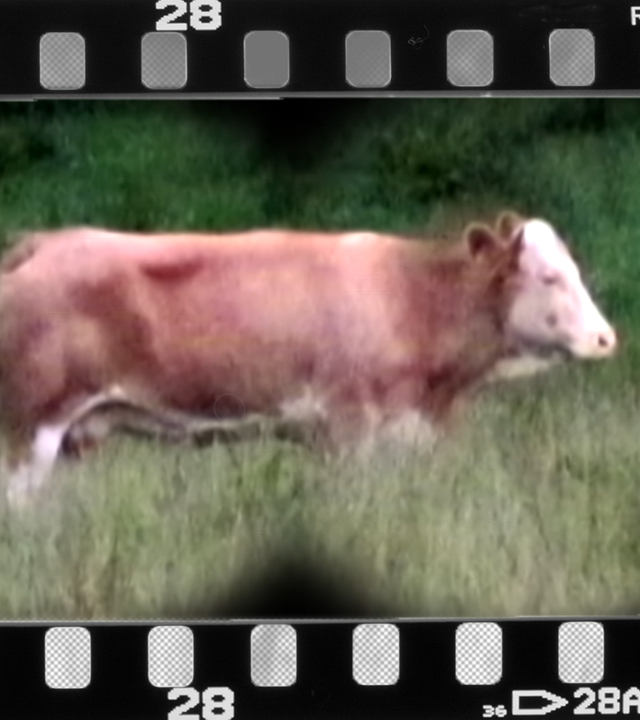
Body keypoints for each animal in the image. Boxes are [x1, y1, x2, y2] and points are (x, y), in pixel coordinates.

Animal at [0, 211, 617, 509]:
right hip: (29, 429)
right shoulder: (350, 426)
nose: (606, 339)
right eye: (549, 276)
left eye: (572, 268)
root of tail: (47, 242)